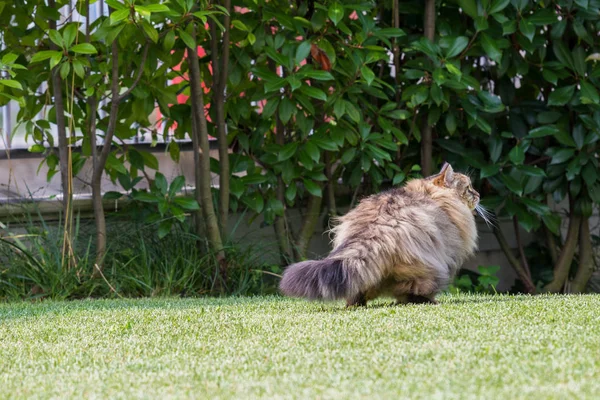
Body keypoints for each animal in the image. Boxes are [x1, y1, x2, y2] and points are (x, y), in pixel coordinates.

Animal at [278, 162, 490, 306]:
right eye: (469, 189)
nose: (479, 194)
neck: (432, 195)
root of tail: (375, 227)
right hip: (428, 266)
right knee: (412, 288)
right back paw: (425, 300)